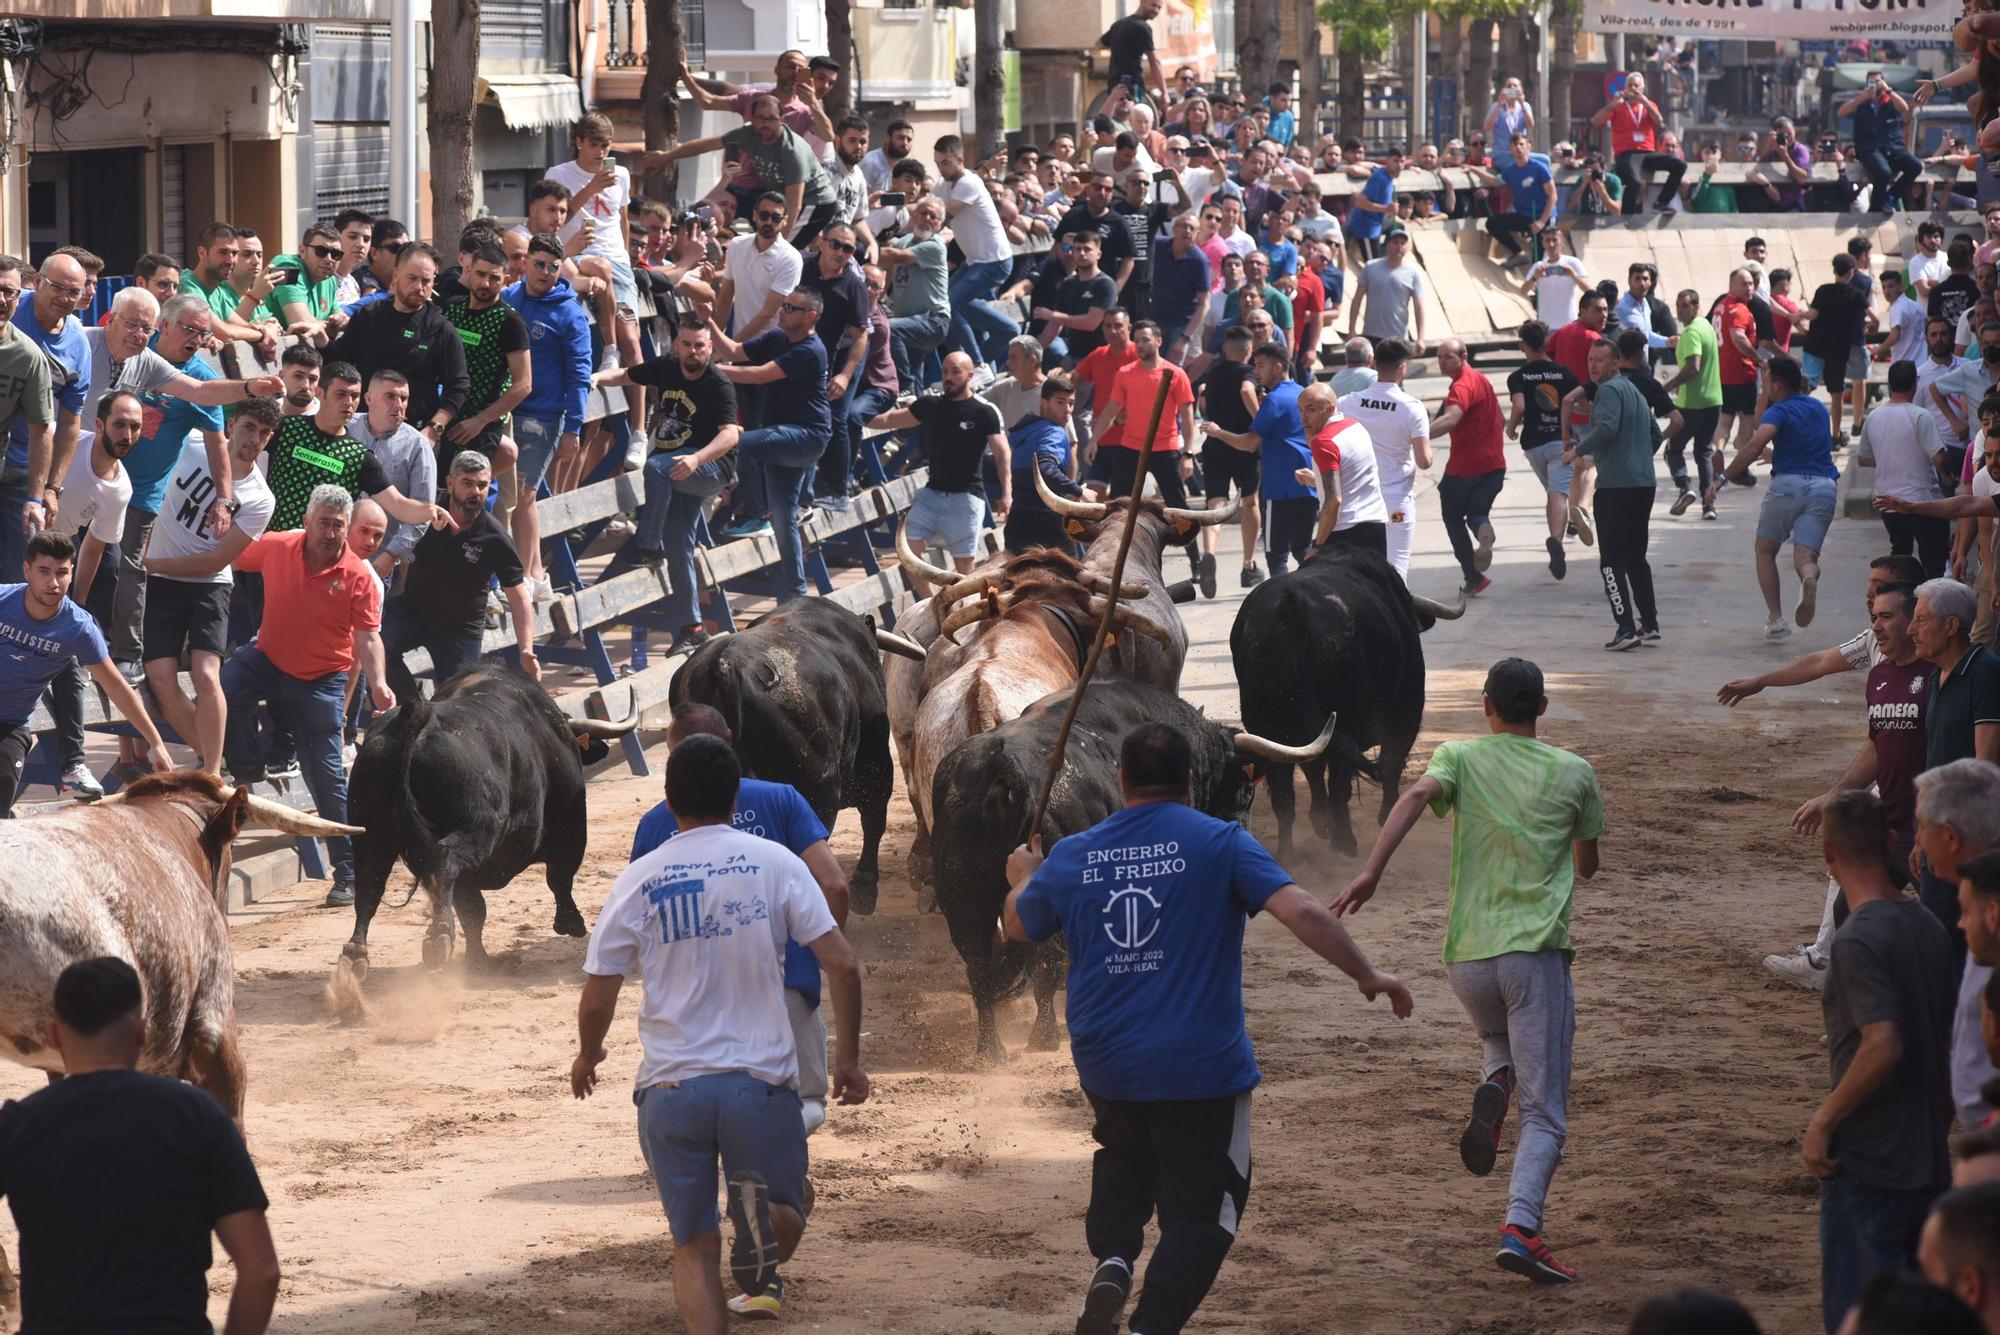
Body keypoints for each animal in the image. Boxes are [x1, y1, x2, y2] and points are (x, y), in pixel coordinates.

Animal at [334, 663, 632, 987]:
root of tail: (420, 715)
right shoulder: (571, 825)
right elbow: (560, 876)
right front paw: (571, 922)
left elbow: (472, 910)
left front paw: (478, 962)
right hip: (479, 828)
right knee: (444, 859)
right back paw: (439, 936)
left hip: (371, 836)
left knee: (370, 886)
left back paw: (355, 956)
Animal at [928, 679, 1336, 1063]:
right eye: (1244, 789)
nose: (1241, 834)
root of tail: (998, 770)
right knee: (1045, 963)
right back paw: (1045, 1038)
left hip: (962, 897)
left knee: (980, 969)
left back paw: (991, 1051)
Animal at [1224, 543, 1464, 855]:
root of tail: (1292, 606)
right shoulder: (1406, 713)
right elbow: (1390, 763)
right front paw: (1386, 816)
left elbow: (1314, 771)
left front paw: (1319, 820)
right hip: (1344, 719)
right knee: (1341, 778)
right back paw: (1345, 841)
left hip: (1268, 727)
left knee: (1285, 791)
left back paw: (1289, 850)